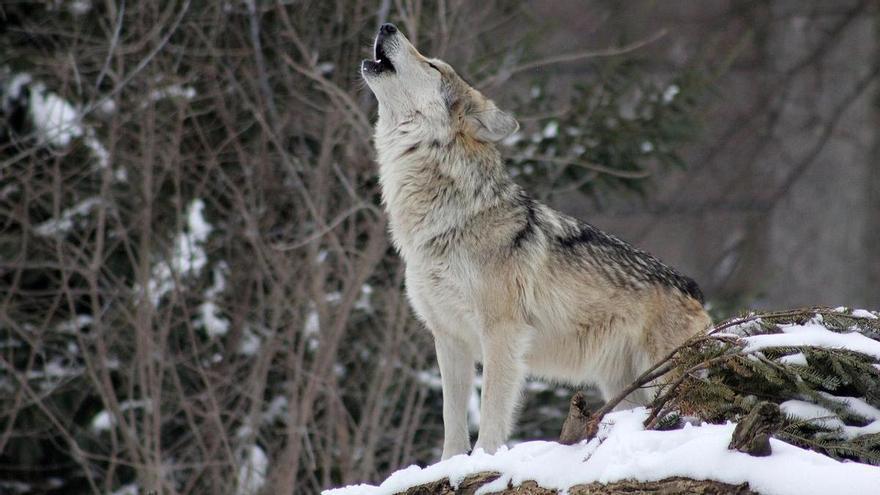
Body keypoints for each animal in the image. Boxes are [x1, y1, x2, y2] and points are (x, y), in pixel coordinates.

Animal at [360, 22, 712, 458]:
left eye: (433, 66)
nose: (387, 25)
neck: (445, 221)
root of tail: (694, 289)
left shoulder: (502, 334)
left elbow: (491, 413)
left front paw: (483, 461)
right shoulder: (449, 338)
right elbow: (451, 421)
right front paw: (450, 464)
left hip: (663, 379)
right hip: (624, 388)